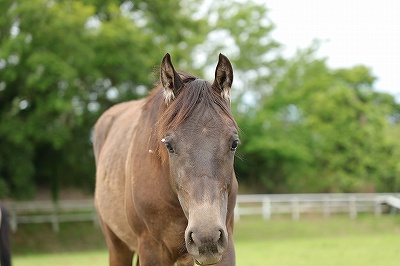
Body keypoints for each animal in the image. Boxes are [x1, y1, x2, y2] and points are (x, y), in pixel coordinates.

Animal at [93, 53, 238, 264]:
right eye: (168, 145)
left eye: (234, 143)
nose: (206, 237)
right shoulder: (151, 249)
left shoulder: (225, 244)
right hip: (117, 246)